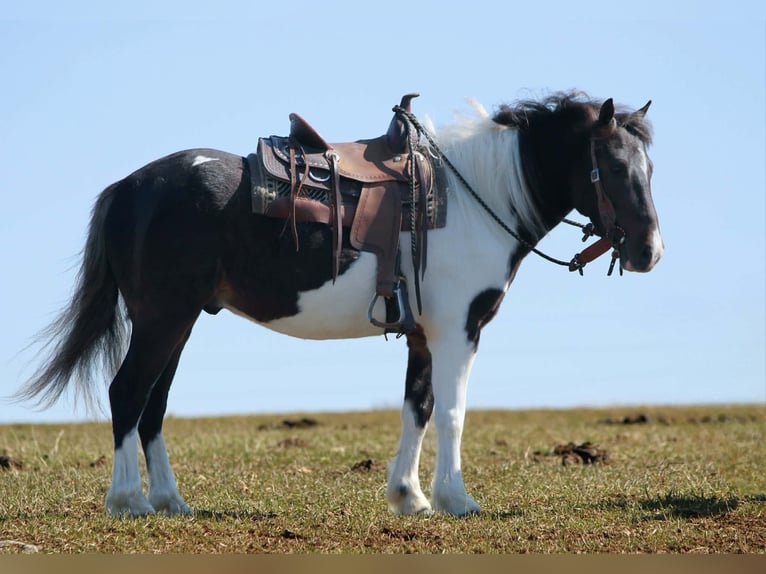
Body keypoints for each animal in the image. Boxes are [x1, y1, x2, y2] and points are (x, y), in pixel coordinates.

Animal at [17, 91, 663, 517]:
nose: (649, 251)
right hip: (162, 318)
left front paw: (410, 497)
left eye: (650, 168)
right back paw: (128, 500)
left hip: (177, 323)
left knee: (152, 404)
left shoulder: (424, 334)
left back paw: (172, 501)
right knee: (127, 392)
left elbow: (418, 408)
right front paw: (456, 499)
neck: (474, 198)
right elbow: (452, 412)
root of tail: (130, 186)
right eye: (610, 166)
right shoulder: (458, 330)